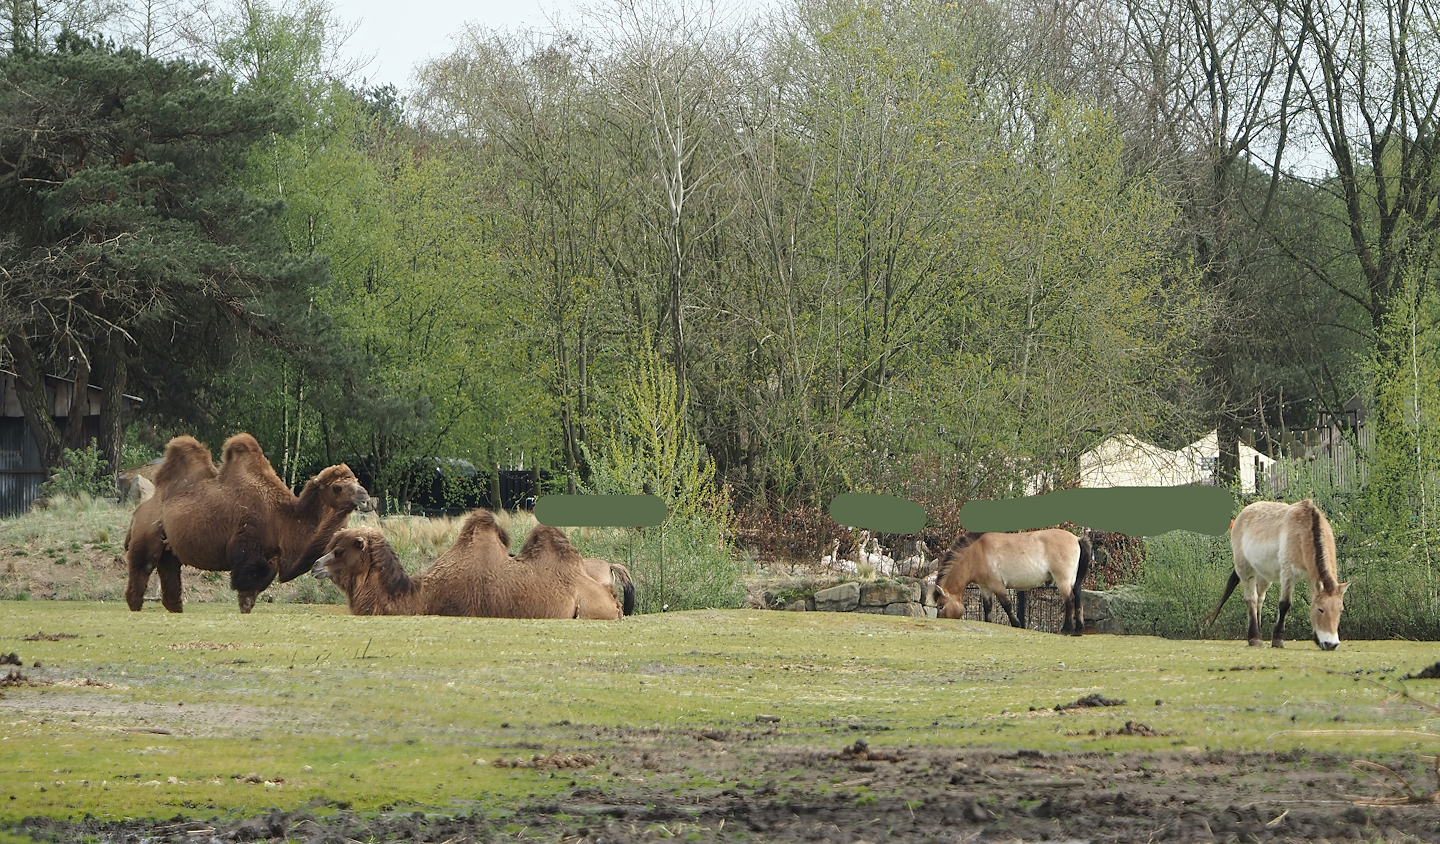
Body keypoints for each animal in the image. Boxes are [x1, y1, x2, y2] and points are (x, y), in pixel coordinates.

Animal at [124, 433, 371, 613]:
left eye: (356, 480)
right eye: (337, 487)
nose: (365, 496)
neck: (281, 519)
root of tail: (139, 510)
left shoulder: (270, 557)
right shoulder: (249, 550)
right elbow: (247, 593)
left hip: (170, 548)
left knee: (169, 573)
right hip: (148, 534)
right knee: (142, 567)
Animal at [933, 528, 1090, 635]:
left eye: (941, 606)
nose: (939, 619)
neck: (977, 553)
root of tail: (1077, 539)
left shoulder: (997, 586)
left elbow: (1007, 605)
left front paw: (1017, 624)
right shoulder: (985, 587)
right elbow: (988, 607)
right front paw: (989, 623)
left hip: (1062, 581)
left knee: (1070, 600)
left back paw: (1066, 629)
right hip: (1073, 581)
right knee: (1078, 600)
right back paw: (1078, 630)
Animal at [1206, 499, 1349, 650]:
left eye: (1340, 610)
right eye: (1321, 609)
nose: (1331, 644)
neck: (1304, 532)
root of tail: (1242, 514)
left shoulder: (1311, 578)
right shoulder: (1288, 575)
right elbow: (1285, 604)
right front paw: (1278, 640)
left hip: (1263, 575)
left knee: (1259, 599)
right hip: (1245, 569)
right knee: (1251, 599)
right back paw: (1254, 638)